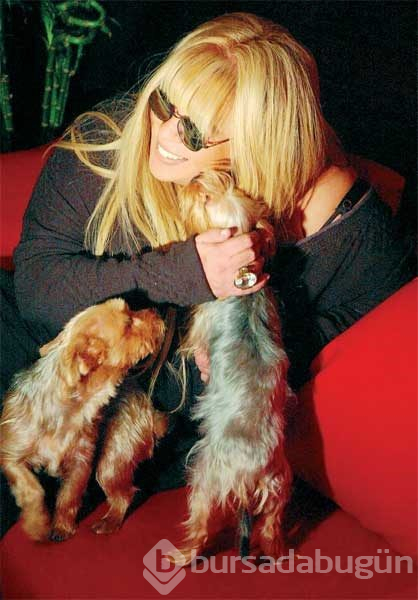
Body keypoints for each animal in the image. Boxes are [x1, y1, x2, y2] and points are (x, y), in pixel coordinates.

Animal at [0, 298, 165, 542]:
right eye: (128, 324)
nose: (155, 310)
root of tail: (148, 407)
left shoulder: (81, 461)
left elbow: (69, 495)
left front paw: (62, 526)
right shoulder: (11, 456)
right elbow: (32, 490)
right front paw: (37, 524)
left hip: (114, 455)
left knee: (124, 493)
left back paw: (110, 520)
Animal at [91, 171, 292, 565]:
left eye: (204, 198)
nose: (194, 181)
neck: (244, 285)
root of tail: (253, 474)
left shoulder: (202, 322)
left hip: (205, 477)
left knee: (200, 524)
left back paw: (180, 555)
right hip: (280, 486)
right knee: (273, 525)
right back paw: (275, 551)